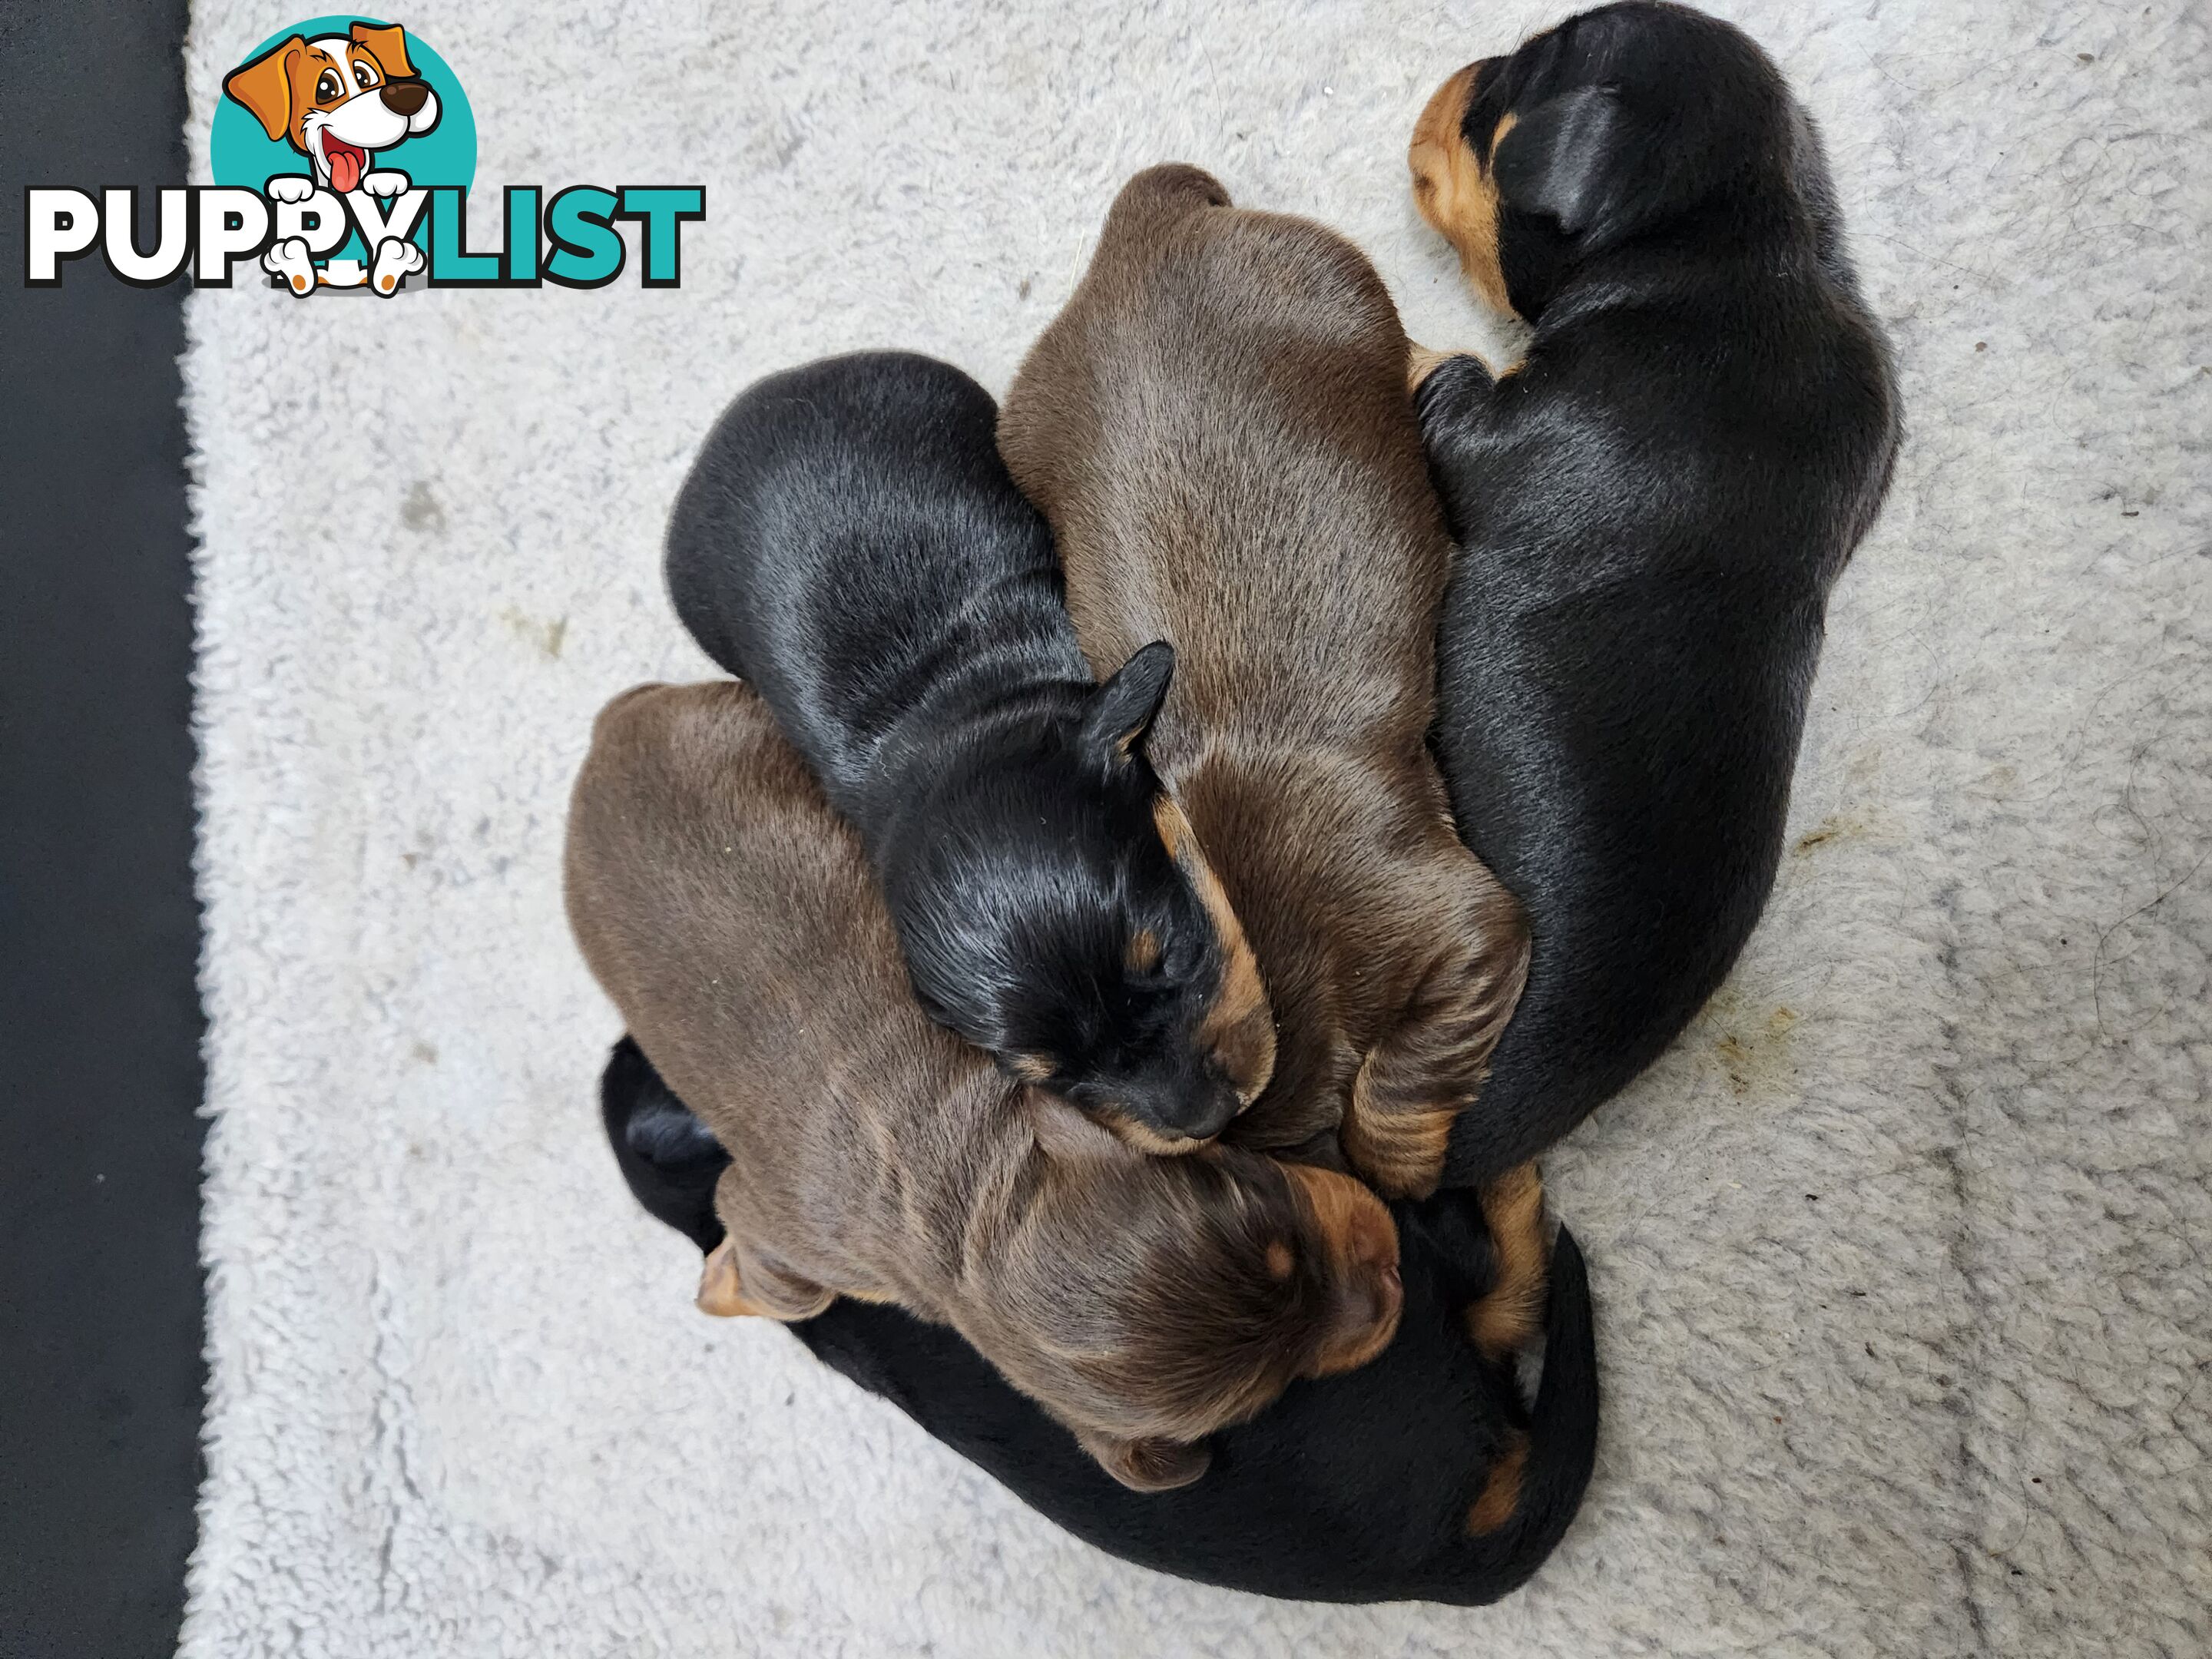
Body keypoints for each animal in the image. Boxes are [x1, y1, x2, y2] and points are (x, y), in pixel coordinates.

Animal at [571, 677, 1398, 1495]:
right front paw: (721, 1283)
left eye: (1258, 1192)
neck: (983, 1194)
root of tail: (604, 733)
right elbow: (783, 1277)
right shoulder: (790, 1227)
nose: (1392, 1273)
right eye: (1277, 1388)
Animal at [1008, 172, 1539, 1212]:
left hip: (1336, 290)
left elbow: (1397, 1084)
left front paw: (1403, 1163)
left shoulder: (1464, 931)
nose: (1198, 1122)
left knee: (1405, 347)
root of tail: (1144, 225)